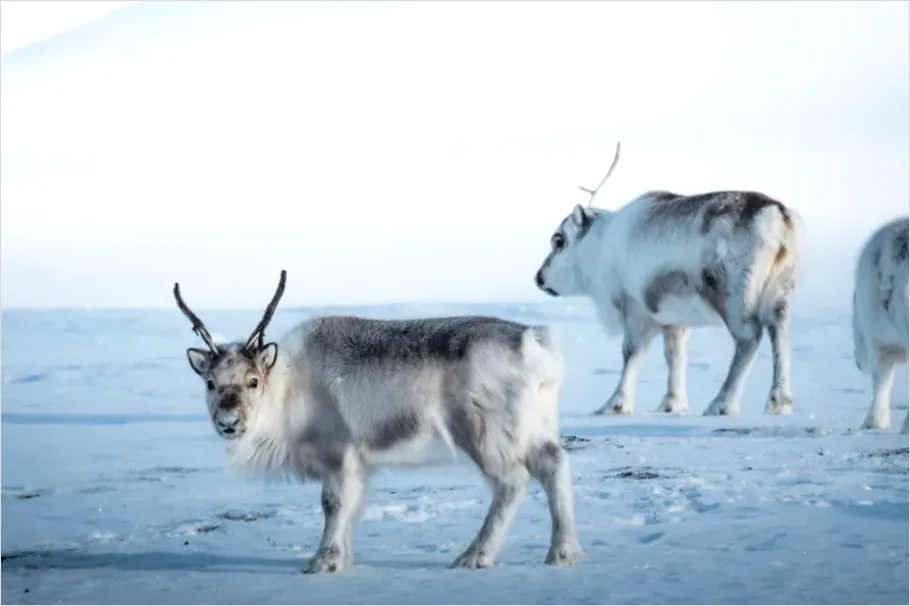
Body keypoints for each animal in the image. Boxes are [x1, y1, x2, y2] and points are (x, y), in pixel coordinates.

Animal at [174, 270, 582, 573]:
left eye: (253, 381)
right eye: (209, 382)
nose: (228, 421)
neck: (287, 386)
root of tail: (533, 343)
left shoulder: (338, 454)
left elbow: (333, 504)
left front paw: (322, 561)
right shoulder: (359, 465)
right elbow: (353, 507)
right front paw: (344, 559)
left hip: (485, 433)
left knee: (513, 482)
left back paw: (474, 556)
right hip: (536, 428)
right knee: (554, 464)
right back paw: (562, 553)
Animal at [535, 142, 802, 417]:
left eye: (559, 241)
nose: (539, 278)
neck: (600, 249)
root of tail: (777, 216)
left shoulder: (635, 311)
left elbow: (632, 355)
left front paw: (614, 404)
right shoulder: (674, 321)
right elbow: (675, 356)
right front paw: (671, 404)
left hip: (735, 296)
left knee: (750, 338)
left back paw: (722, 404)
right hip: (780, 290)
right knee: (780, 334)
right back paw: (779, 402)